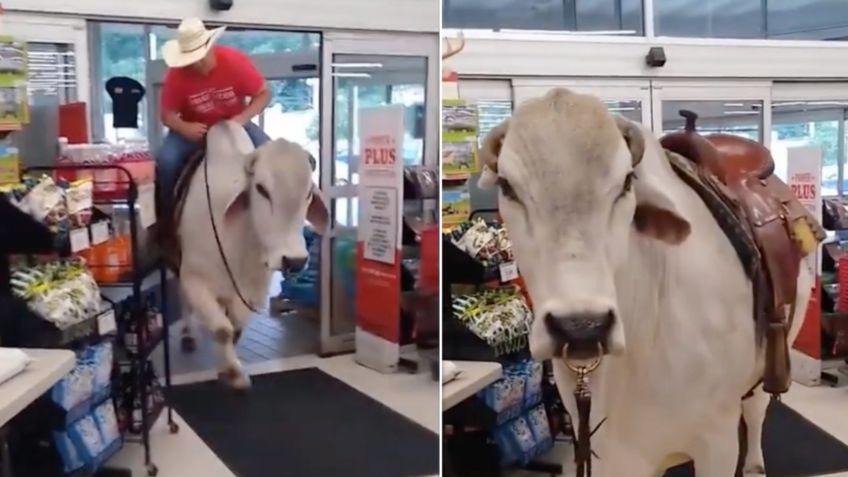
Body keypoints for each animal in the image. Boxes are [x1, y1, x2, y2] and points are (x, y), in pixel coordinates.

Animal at [176, 121, 328, 388]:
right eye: (261, 189)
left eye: (309, 191)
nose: (295, 261)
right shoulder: (194, 279)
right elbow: (222, 329)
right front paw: (231, 372)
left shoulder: (254, 292)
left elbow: (234, 327)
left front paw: (229, 367)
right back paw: (188, 334)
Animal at [476, 87, 816, 474]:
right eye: (506, 186)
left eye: (626, 182)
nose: (582, 327)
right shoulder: (601, 447)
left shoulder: (718, 443)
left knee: (756, 409)